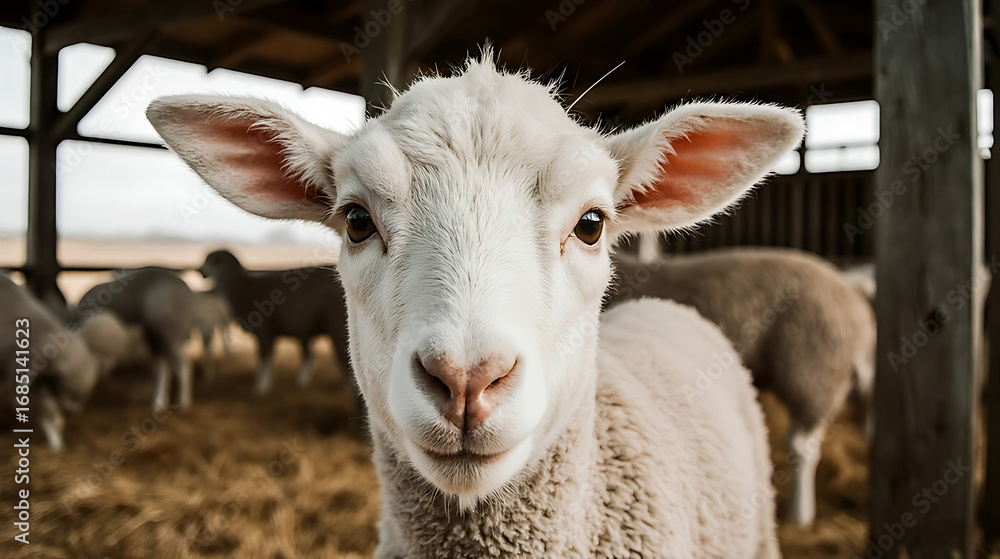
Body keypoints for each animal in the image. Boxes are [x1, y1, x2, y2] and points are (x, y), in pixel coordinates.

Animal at [72, 268, 195, 410]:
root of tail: (185, 289)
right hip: (158, 338)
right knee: (163, 367)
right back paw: (158, 403)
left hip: (169, 335)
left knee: (183, 364)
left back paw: (183, 403)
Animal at [197, 250, 351, 398]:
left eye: (214, 261)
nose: (200, 271)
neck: (242, 287)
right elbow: (270, 358)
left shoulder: (264, 331)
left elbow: (264, 358)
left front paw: (261, 388)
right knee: (310, 355)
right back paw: (303, 382)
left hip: (334, 325)